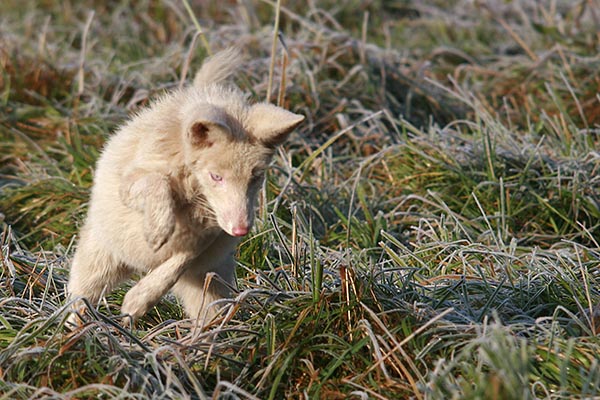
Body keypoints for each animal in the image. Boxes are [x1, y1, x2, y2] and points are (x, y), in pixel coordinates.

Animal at [67, 48, 304, 326]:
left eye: (256, 177)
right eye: (216, 177)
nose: (241, 229)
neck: (194, 197)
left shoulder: (207, 236)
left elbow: (179, 261)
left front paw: (137, 302)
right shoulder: (131, 184)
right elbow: (157, 184)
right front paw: (157, 230)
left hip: (208, 288)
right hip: (99, 262)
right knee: (80, 298)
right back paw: (74, 330)